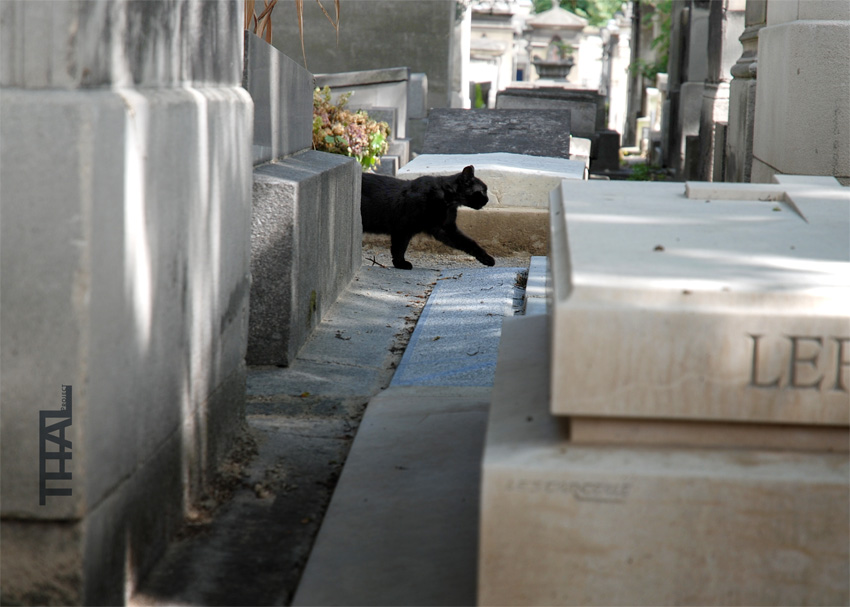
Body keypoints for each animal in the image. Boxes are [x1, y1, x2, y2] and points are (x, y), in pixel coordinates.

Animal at [360, 166, 494, 270]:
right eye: (483, 190)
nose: (487, 200)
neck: (448, 200)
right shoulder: (403, 228)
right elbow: (399, 247)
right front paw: (400, 263)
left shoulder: (446, 229)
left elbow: (468, 242)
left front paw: (486, 258)